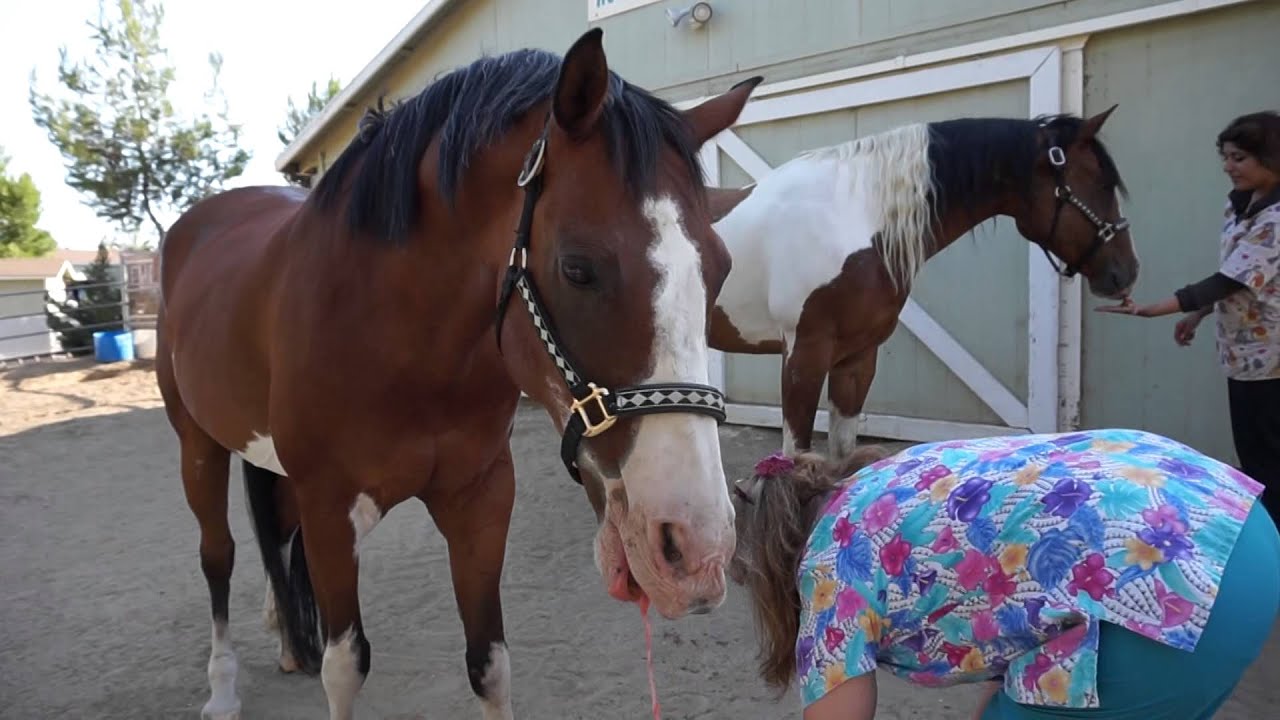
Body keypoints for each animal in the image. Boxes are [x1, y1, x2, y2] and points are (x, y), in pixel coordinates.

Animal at [154, 29, 761, 720]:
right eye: (578, 268)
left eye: (720, 268)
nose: (699, 550)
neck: (398, 335)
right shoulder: (331, 508)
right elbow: (345, 667)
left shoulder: (481, 499)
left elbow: (489, 662)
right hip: (197, 444)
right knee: (218, 556)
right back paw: (223, 687)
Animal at [706, 108, 1140, 466]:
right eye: (1101, 184)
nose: (1126, 272)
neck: (851, 218)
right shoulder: (804, 355)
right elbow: (795, 457)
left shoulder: (858, 356)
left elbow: (843, 455)